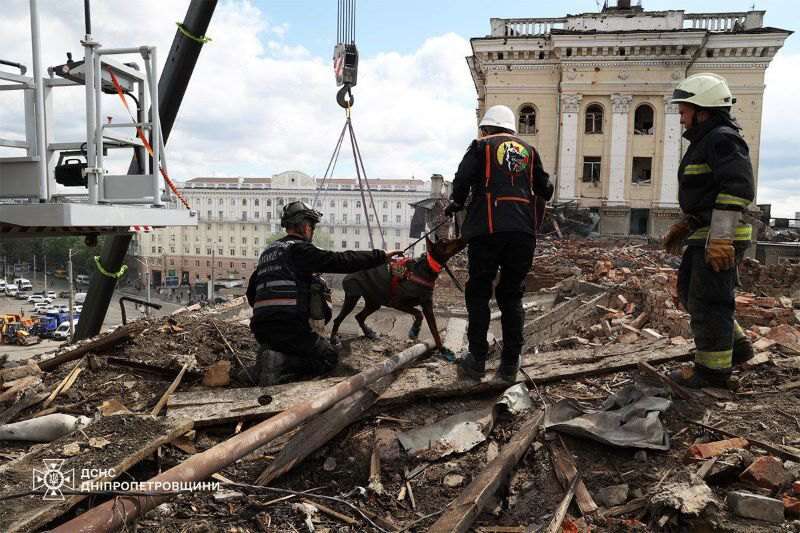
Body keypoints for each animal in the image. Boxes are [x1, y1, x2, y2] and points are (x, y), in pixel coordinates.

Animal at [332, 238, 466, 354]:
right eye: (445, 242)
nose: (462, 238)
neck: (425, 268)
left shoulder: (427, 303)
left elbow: (434, 330)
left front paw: (442, 349)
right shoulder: (396, 302)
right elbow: (418, 313)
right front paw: (414, 330)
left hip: (374, 302)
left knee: (359, 316)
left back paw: (369, 333)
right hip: (353, 296)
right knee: (338, 319)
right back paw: (334, 340)